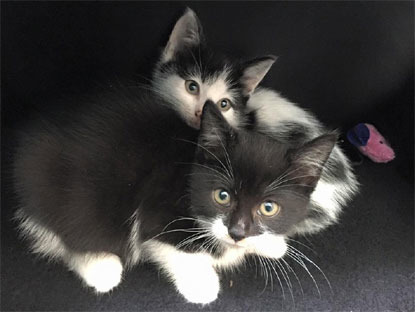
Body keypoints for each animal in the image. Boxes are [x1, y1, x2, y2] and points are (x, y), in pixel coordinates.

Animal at [13, 83, 338, 304]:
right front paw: (202, 283)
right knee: (63, 235)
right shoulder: (154, 208)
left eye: (268, 208)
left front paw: (272, 244)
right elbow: (170, 245)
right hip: (70, 198)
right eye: (222, 196)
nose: (237, 232)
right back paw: (101, 267)